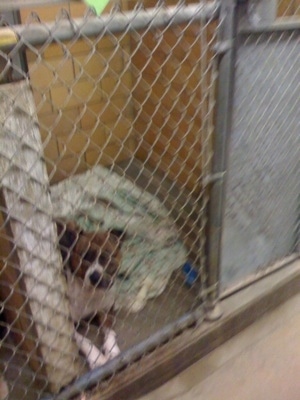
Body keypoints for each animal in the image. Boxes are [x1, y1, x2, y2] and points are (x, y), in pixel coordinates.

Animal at [55, 220, 123, 368]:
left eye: (106, 256)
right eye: (84, 256)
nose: (95, 276)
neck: (90, 293)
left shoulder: (107, 309)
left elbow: (109, 331)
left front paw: (111, 349)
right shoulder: (69, 325)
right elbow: (84, 341)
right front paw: (97, 358)